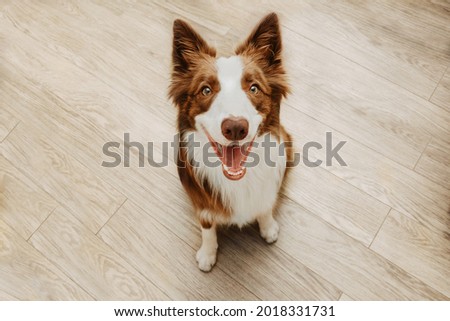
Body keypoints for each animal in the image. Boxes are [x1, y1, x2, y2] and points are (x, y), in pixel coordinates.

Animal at [169, 13, 292, 272]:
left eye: (254, 88)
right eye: (206, 90)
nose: (235, 127)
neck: (238, 180)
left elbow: (265, 206)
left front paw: (268, 228)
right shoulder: (202, 205)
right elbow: (207, 226)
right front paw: (207, 253)